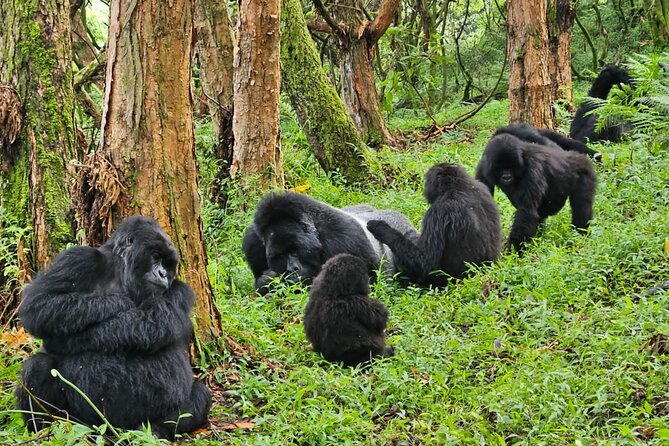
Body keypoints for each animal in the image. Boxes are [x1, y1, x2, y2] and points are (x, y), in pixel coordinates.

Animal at [15, 216, 210, 440]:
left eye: (167, 263)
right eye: (156, 256)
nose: (163, 274)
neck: (121, 272)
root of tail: (113, 430)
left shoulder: (180, 289)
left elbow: (152, 325)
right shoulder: (78, 258)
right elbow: (40, 304)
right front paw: (117, 301)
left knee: (201, 395)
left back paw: (153, 430)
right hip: (84, 421)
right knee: (38, 365)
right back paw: (46, 428)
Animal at [240, 191, 418, 292]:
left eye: (296, 250)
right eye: (280, 256)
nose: (292, 269)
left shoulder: (346, 237)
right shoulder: (252, 243)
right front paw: (267, 281)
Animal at [366, 163, 500, 286]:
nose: (425, 188)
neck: (458, 187)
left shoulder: (438, 212)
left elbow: (424, 262)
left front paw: (381, 228)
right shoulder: (482, 188)